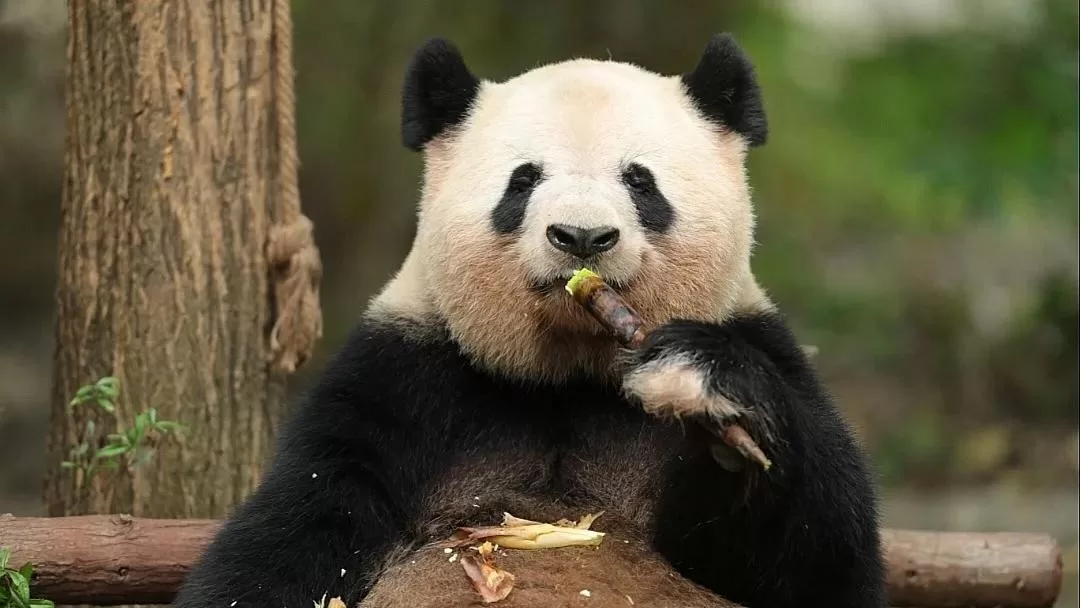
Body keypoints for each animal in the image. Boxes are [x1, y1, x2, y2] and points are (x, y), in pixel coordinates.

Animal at [174, 33, 886, 608]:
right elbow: (294, 531)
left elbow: (822, 561)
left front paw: (707, 389)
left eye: (640, 181)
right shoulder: (406, 379)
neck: (569, 372)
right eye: (522, 181)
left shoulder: (758, 338)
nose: (582, 237)